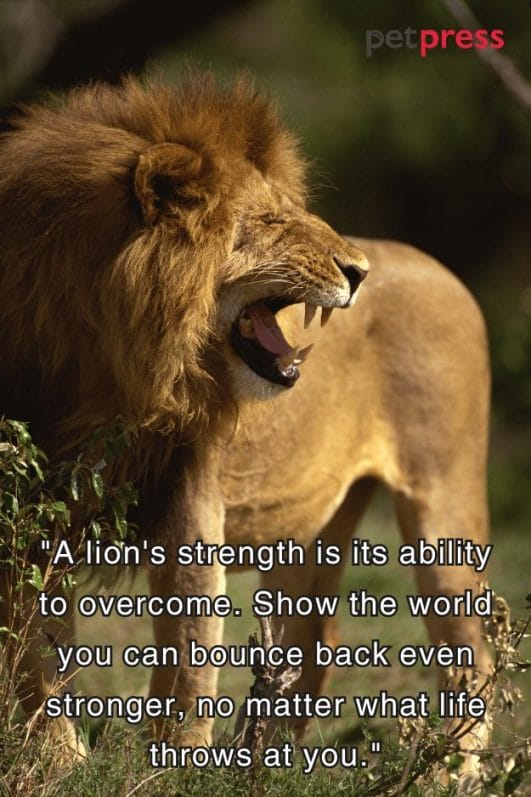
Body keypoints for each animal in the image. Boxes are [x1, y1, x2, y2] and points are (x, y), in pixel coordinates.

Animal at [0, 74, 490, 763]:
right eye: (271, 220)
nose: (359, 272)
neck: (107, 368)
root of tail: (446, 272)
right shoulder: (31, 514)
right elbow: (39, 663)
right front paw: (62, 767)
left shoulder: (191, 505)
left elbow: (188, 664)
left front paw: (177, 766)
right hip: (313, 534)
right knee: (312, 641)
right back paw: (277, 759)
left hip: (443, 505)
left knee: (472, 653)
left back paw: (457, 773)